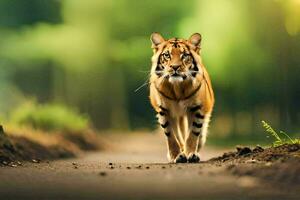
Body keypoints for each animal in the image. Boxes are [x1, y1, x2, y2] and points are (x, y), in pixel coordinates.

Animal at [149, 32, 214, 163]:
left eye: (184, 55)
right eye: (167, 55)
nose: (175, 67)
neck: (177, 89)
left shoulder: (196, 108)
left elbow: (193, 133)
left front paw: (191, 154)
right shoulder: (164, 110)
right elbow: (171, 136)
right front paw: (177, 156)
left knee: (200, 134)